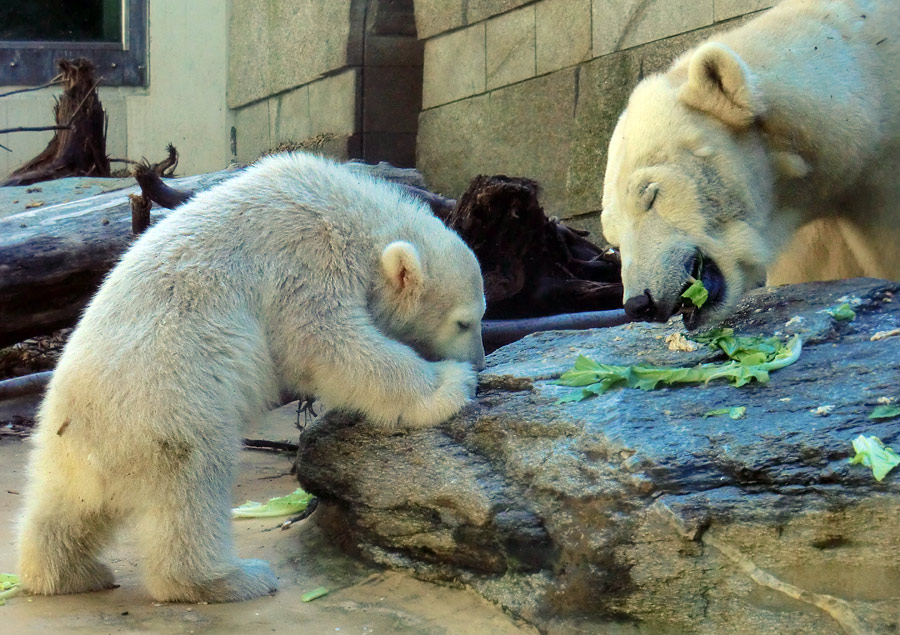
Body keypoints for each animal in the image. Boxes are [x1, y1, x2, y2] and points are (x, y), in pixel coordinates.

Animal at [15, 152, 486, 604]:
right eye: (465, 322)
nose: (481, 363)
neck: (347, 209)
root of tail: (84, 438)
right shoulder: (304, 259)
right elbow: (328, 343)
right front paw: (449, 385)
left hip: (65, 447)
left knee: (62, 510)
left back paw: (68, 574)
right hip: (168, 408)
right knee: (193, 485)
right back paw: (232, 579)